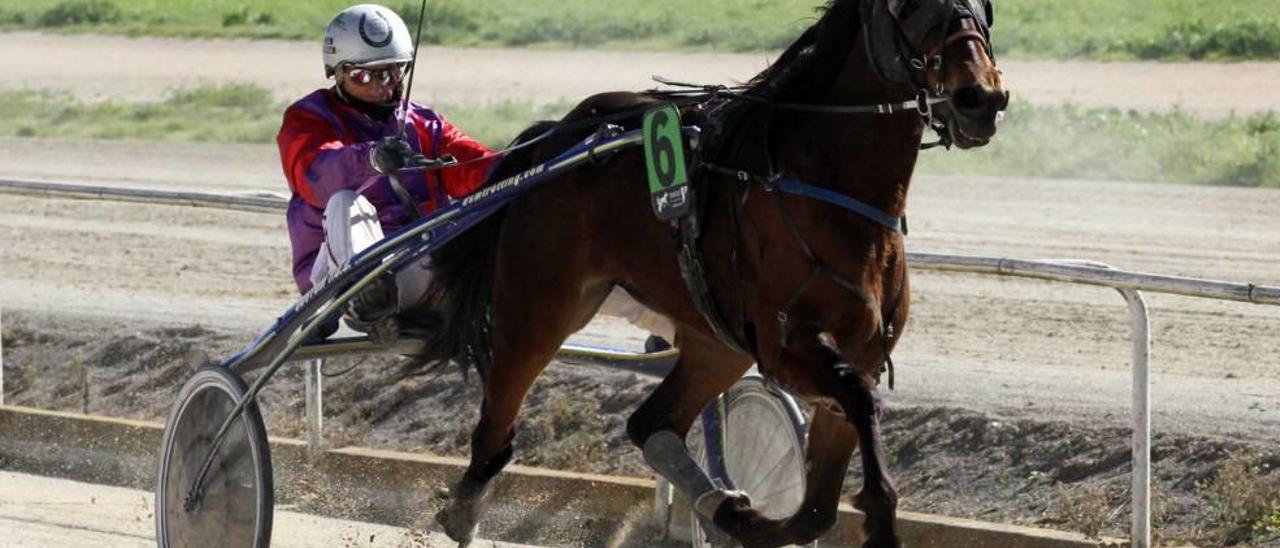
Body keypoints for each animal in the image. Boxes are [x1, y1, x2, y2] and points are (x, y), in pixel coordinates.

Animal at [422, 1, 1008, 548]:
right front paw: (875, 521)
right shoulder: (786, 345)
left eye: (984, 6)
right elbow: (860, 401)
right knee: (495, 425)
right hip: (539, 308)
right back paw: (463, 511)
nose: (979, 97)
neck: (827, 182)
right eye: (906, 8)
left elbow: (817, 506)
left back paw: (716, 504)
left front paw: (741, 515)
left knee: (652, 422)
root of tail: (553, 138)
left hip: (715, 342)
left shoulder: (859, 346)